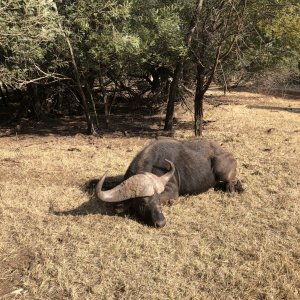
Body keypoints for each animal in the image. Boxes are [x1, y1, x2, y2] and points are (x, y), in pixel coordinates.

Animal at [97, 138, 243, 227]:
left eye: (157, 199)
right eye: (143, 202)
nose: (161, 223)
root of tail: (229, 154)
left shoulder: (172, 190)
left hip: (222, 172)